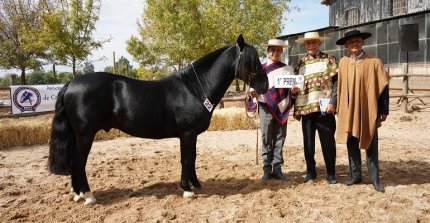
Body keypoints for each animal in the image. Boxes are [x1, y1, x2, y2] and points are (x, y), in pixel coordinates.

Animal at [48, 34, 268, 204]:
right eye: (251, 60)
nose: (265, 85)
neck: (194, 89)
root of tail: (70, 83)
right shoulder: (187, 133)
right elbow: (185, 159)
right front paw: (186, 190)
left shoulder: (193, 134)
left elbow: (193, 158)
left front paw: (196, 184)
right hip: (85, 134)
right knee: (79, 163)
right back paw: (88, 196)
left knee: (74, 163)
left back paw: (78, 194)